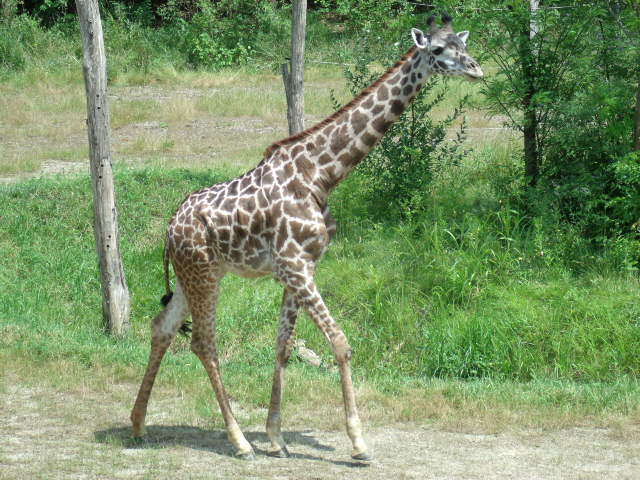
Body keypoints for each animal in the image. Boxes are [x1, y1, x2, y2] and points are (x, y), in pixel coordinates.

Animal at [130, 13, 483, 461]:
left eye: (462, 44)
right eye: (438, 49)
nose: (476, 69)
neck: (322, 175)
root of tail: (169, 228)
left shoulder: (299, 267)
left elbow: (283, 345)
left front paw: (277, 437)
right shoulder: (295, 265)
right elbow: (340, 342)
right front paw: (358, 442)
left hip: (189, 275)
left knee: (162, 327)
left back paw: (138, 425)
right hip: (204, 275)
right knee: (203, 343)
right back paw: (239, 441)